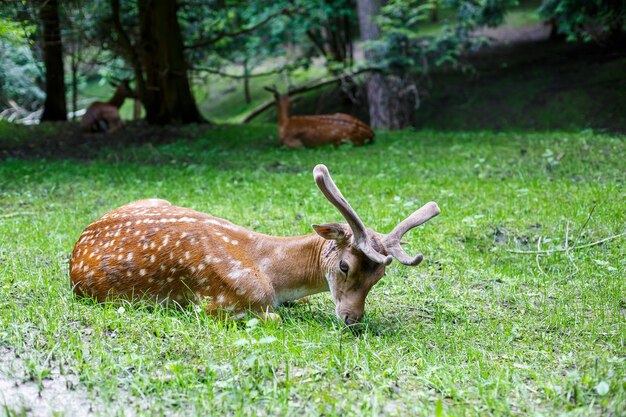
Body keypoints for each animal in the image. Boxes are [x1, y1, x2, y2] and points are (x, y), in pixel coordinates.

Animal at [69, 164, 438, 324]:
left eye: (379, 277)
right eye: (345, 265)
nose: (353, 319)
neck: (275, 274)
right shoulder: (221, 300)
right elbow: (273, 317)